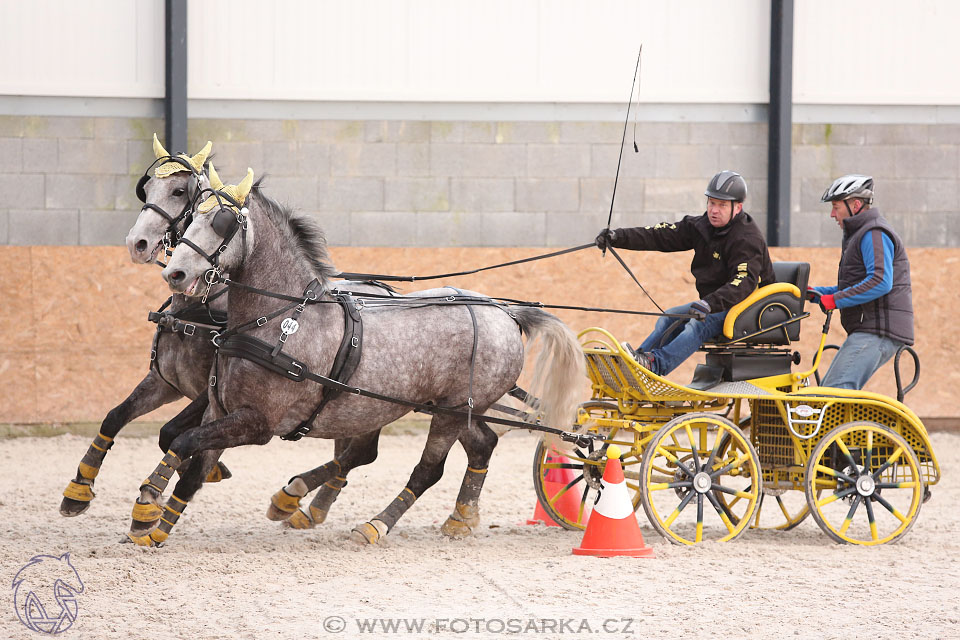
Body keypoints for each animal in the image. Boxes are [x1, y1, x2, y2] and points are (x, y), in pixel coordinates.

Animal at [125, 170, 576, 544]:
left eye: (221, 222)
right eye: (189, 217)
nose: (175, 273)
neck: (278, 318)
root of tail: (505, 313)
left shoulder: (257, 423)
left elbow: (183, 441)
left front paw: (147, 512)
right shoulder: (219, 409)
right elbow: (191, 463)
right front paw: (155, 527)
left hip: (447, 413)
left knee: (428, 469)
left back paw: (376, 524)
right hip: (455, 407)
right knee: (481, 445)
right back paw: (459, 519)